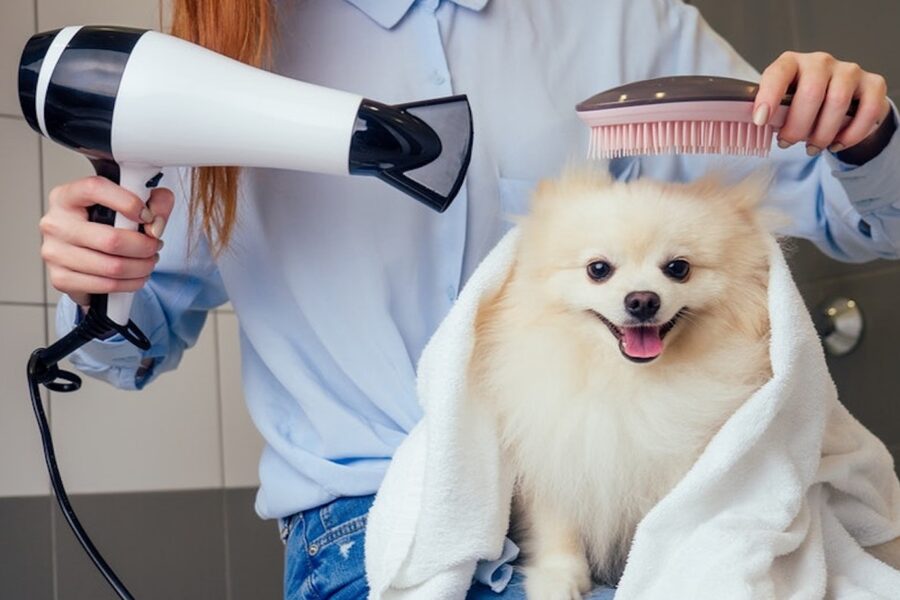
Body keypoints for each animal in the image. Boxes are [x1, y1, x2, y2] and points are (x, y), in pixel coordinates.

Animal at [472, 170, 900, 600]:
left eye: (678, 268)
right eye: (598, 269)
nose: (642, 300)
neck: (627, 383)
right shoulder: (555, 449)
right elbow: (557, 525)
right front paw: (557, 578)